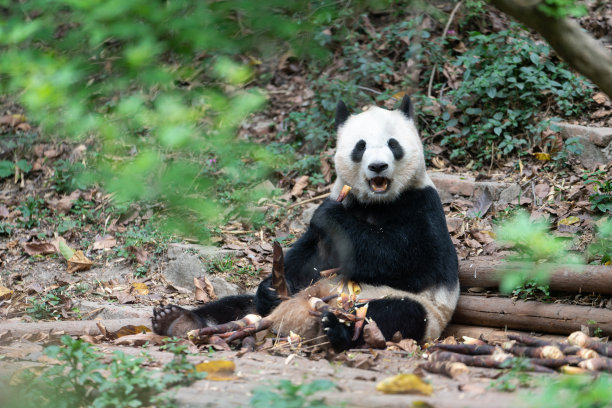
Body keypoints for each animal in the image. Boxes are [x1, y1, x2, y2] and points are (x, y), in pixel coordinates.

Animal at [153, 95, 460, 350]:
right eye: (360, 147)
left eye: (393, 144)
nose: (378, 167)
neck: (376, 201)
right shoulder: (337, 212)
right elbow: (308, 259)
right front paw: (270, 287)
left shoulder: (422, 205)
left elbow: (409, 259)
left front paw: (330, 214)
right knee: (237, 305)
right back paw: (177, 320)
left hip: (415, 310)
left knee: (394, 313)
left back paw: (337, 330)